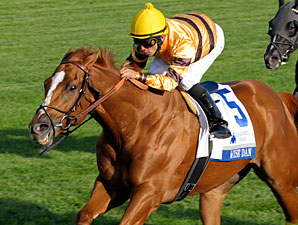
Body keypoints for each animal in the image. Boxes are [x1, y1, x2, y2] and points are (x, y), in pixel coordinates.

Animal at [28, 46, 298, 224]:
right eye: (46, 82)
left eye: (72, 87)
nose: (38, 128)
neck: (137, 124)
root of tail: (277, 96)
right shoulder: (111, 184)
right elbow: (84, 214)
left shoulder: (150, 192)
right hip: (216, 187)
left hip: (281, 180)